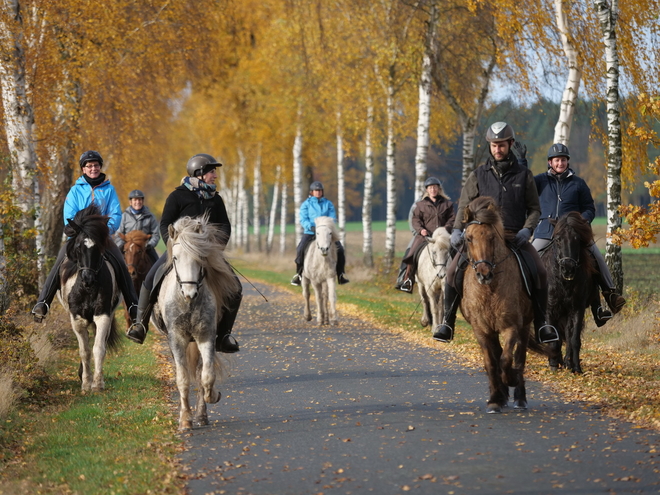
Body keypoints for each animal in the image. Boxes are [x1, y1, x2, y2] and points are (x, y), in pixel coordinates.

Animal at [58, 203, 122, 394]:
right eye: (79, 247)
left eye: (99, 248)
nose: (88, 279)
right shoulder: (77, 319)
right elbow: (84, 351)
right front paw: (86, 383)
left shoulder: (103, 316)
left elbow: (98, 348)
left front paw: (97, 383)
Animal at [462, 198, 532, 414]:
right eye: (468, 238)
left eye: (492, 237)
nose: (484, 274)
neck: (490, 290)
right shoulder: (481, 330)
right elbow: (491, 363)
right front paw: (495, 399)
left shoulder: (511, 326)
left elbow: (506, 359)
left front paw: (510, 379)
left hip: (526, 325)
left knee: (519, 356)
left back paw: (519, 397)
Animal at [540, 211, 600, 374]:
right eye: (558, 239)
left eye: (577, 239)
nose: (568, 268)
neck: (563, 281)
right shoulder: (549, 309)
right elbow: (553, 337)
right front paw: (553, 364)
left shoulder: (577, 308)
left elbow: (574, 338)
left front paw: (576, 367)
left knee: (566, 333)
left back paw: (567, 362)